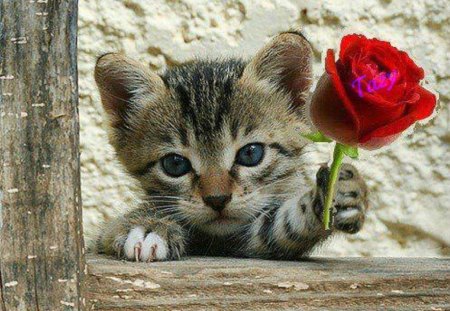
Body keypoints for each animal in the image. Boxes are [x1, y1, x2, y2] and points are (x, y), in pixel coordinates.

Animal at [93, 31, 368, 262]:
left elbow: (282, 227)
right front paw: (146, 224)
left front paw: (337, 193)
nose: (217, 199)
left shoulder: (249, 237)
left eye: (251, 153)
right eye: (174, 164)